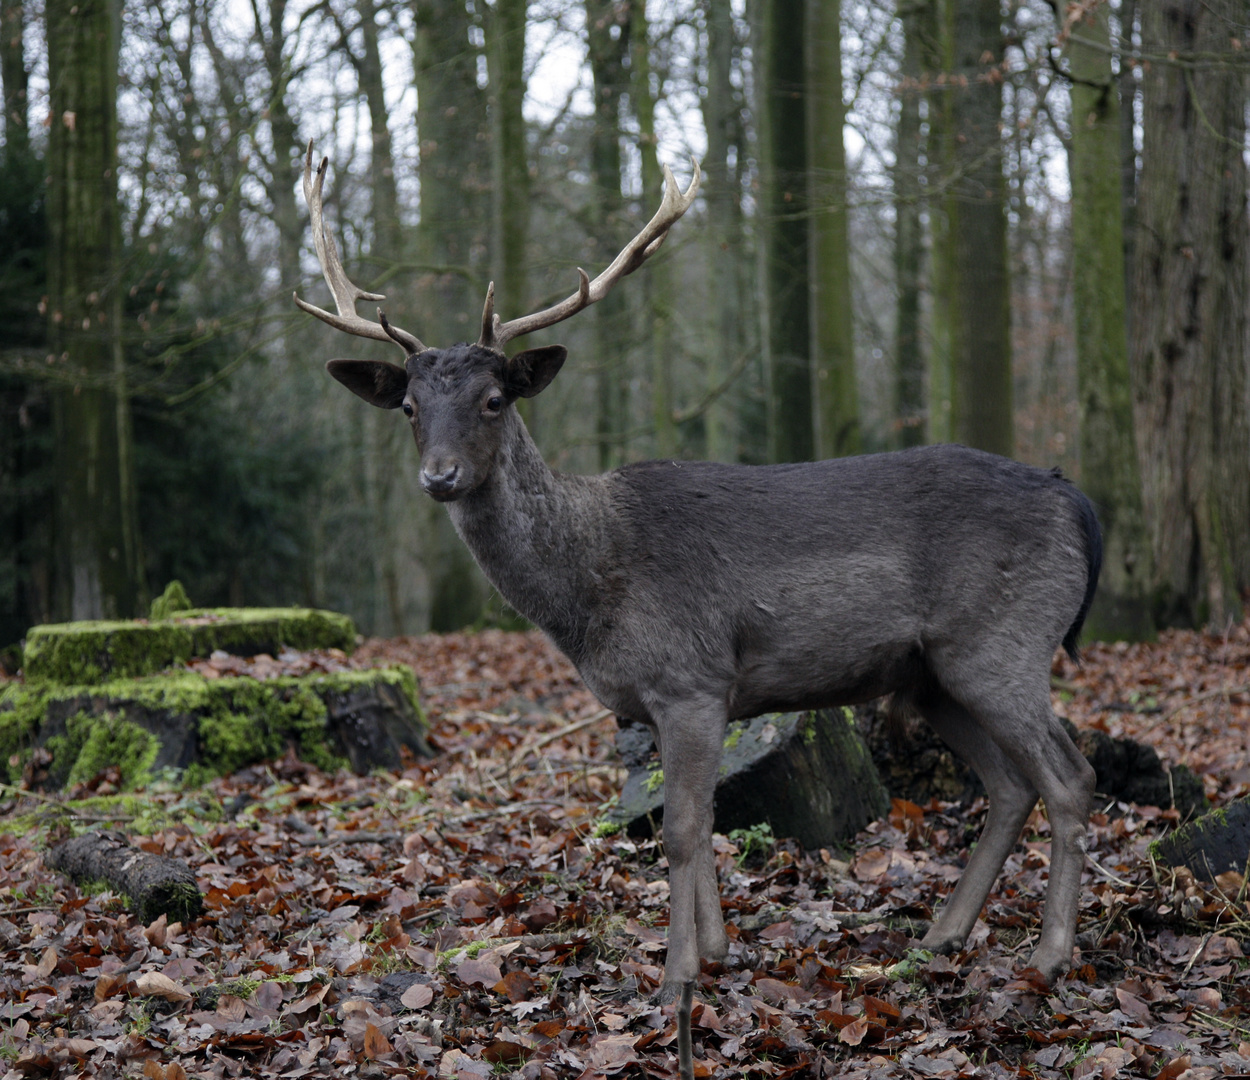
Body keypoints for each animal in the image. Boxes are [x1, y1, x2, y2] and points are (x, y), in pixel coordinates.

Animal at [295, 145, 1105, 1005]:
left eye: (492, 399)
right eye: (409, 406)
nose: (440, 476)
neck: (587, 592)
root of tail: (1077, 502)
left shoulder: (690, 678)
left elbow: (681, 829)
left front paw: (676, 976)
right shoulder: (665, 701)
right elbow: (704, 818)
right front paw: (717, 953)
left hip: (1004, 641)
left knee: (1070, 776)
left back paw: (1048, 956)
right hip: (932, 676)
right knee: (1010, 785)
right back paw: (940, 938)